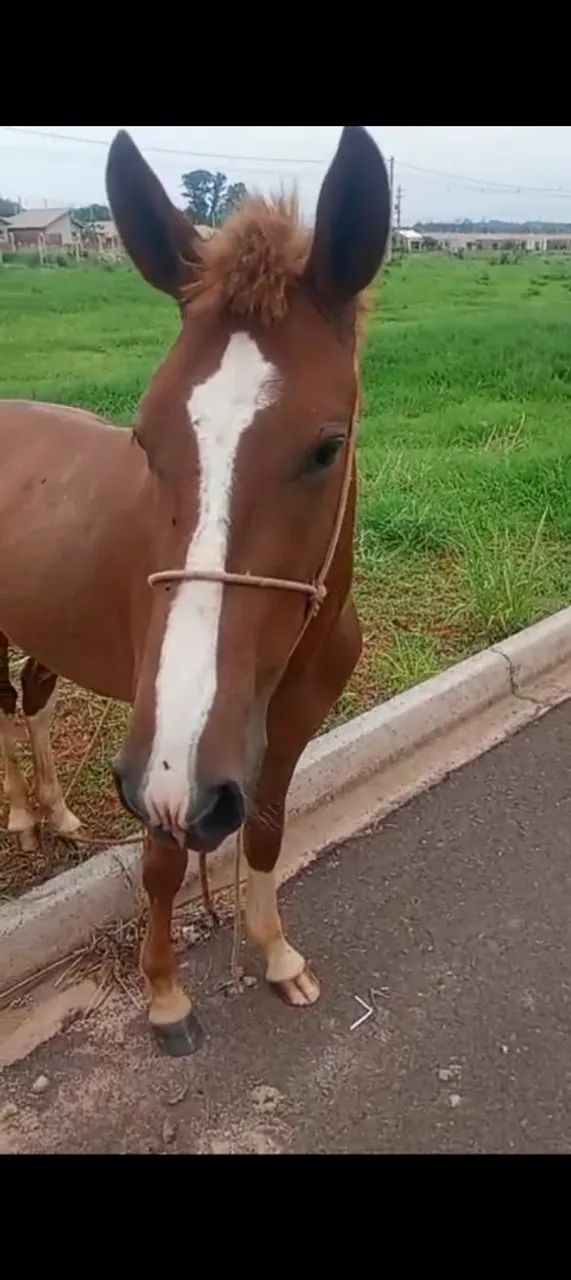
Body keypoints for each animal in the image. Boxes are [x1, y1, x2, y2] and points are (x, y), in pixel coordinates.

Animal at [0, 125, 390, 1055]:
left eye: (326, 445)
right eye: (146, 434)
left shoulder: (283, 728)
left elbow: (266, 831)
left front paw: (275, 955)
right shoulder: (166, 759)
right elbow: (164, 859)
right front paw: (166, 995)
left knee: (30, 699)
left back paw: (54, 815)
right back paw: (22, 817)